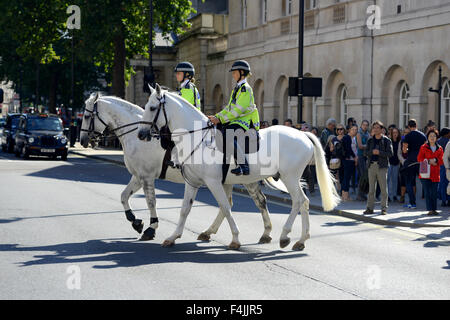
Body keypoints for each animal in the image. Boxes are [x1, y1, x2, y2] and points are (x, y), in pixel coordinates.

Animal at [79, 92, 272, 242]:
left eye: (87, 116)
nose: (82, 140)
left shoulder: (146, 176)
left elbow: (151, 201)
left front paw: (151, 227)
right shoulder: (138, 176)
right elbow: (123, 196)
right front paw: (135, 221)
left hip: (244, 180)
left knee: (253, 202)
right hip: (233, 180)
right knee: (245, 202)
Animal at [139, 84, 340, 251]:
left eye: (152, 108)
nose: (141, 134)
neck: (197, 138)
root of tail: (303, 135)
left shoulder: (213, 182)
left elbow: (225, 206)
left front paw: (235, 239)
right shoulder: (193, 182)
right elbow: (185, 210)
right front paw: (173, 237)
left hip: (289, 177)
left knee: (299, 201)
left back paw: (285, 236)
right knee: (303, 202)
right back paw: (300, 240)